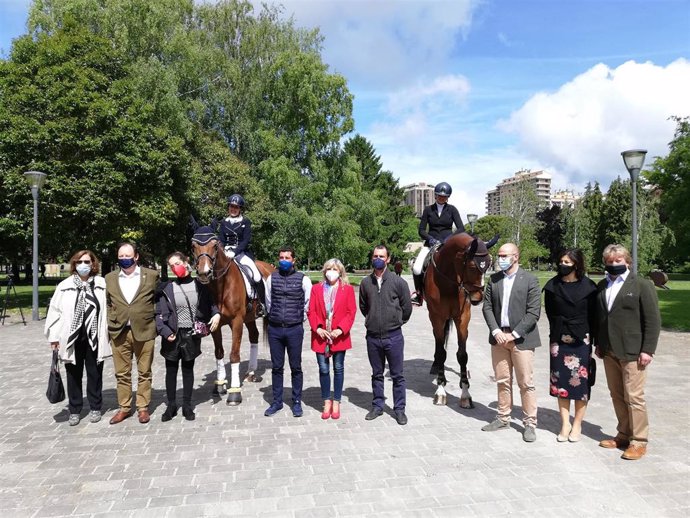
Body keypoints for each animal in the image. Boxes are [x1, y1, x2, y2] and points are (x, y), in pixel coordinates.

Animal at [191, 226, 274, 406]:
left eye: (215, 246)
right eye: (193, 246)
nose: (204, 273)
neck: (221, 286)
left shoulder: (236, 321)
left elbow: (234, 355)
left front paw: (234, 392)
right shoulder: (214, 324)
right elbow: (219, 352)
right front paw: (220, 385)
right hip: (249, 318)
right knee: (254, 336)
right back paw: (251, 372)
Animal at [422, 233, 492, 410]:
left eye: (488, 265)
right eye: (473, 267)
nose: (478, 298)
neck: (448, 281)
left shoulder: (462, 318)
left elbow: (462, 355)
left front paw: (465, 394)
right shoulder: (437, 317)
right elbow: (441, 352)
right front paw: (440, 391)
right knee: (438, 342)